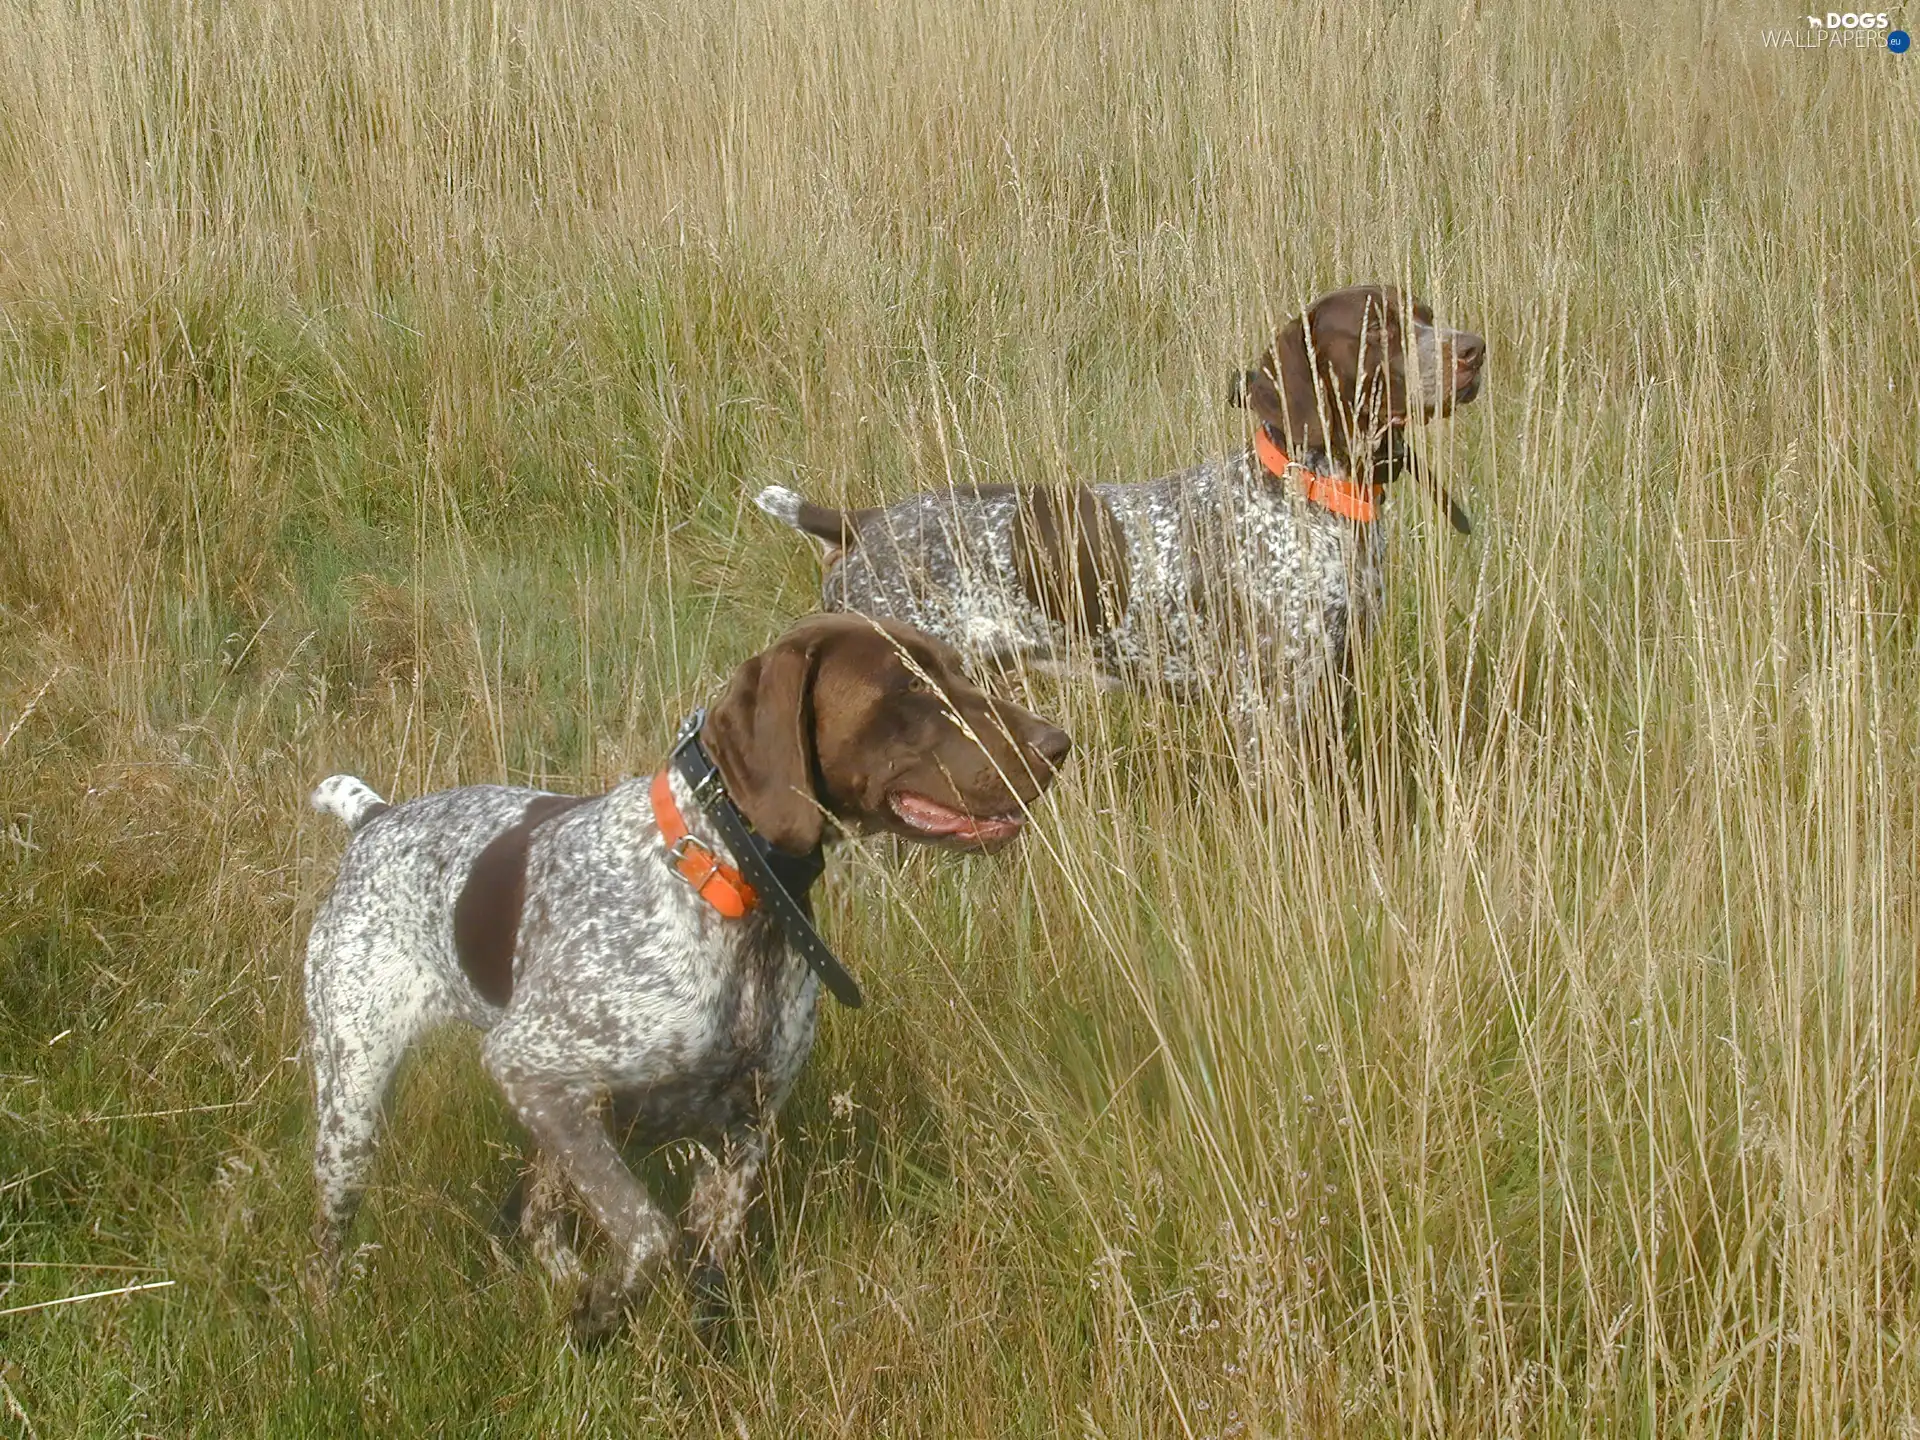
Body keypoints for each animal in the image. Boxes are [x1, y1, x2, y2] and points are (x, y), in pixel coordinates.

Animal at [307, 610, 1075, 1344]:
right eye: (908, 688)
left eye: (958, 671)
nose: (1057, 743)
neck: (730, 879)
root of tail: (374, 819)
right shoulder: (527, 1064)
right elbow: (651, 1236)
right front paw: (602, 1309)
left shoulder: (739, 1134)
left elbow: (704, 1279)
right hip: (357, 1105)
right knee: (336, 1238)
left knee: (530, 1216)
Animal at [752, 289, 1482, 748]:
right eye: (1377, 327)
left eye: (1427, 314)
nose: (1474, 348)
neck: (1311, 495)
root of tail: (862, 523)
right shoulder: (1265, 707)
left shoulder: (1333, 683)